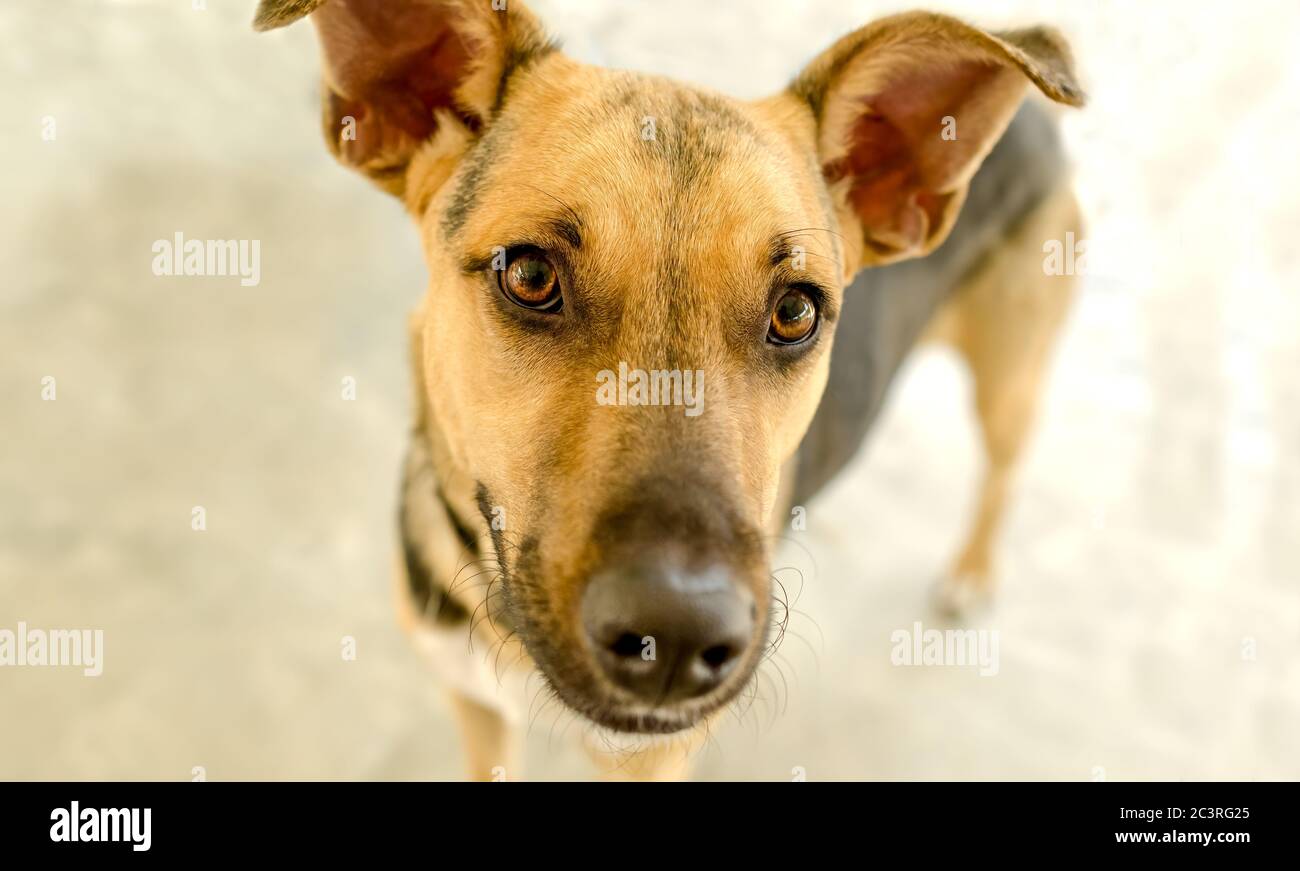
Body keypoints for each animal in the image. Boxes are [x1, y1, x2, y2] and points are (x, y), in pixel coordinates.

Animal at [253, 0, 1086, 780]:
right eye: (529, 274)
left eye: (796, 311)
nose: (679, 637)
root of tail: (1034, 118)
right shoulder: (472, 703)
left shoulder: (651, 759)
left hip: (1010, 382)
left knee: (1003, 473)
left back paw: (971, 573)